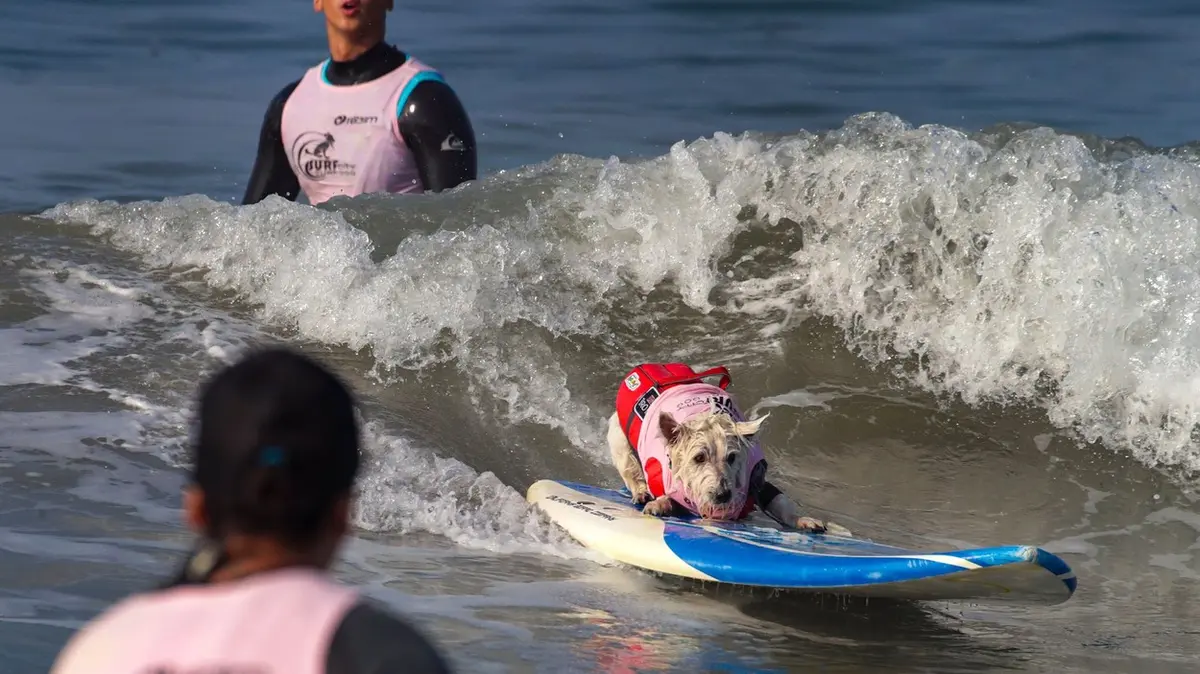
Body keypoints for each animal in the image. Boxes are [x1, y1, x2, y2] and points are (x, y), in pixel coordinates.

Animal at [604, 364, 849, 532]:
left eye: (732, 457)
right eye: (699, 458)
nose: (722, 495)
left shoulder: (756, 478)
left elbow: (779, 501)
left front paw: (803, 520)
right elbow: (667, 496)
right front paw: (659, 504)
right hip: (618, 438)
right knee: (629, 468)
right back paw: (641, 492)